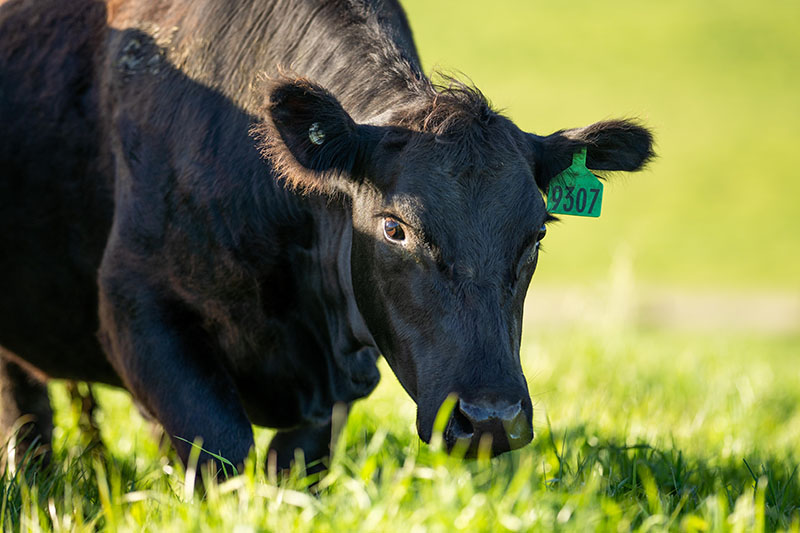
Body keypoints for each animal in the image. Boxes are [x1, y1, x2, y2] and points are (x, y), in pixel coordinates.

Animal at [0, 0, 653, 472]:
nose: (490, 418)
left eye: (537, 234)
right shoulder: (137, 309)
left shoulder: (333, 395)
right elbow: (222, 451)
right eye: (394, 227)